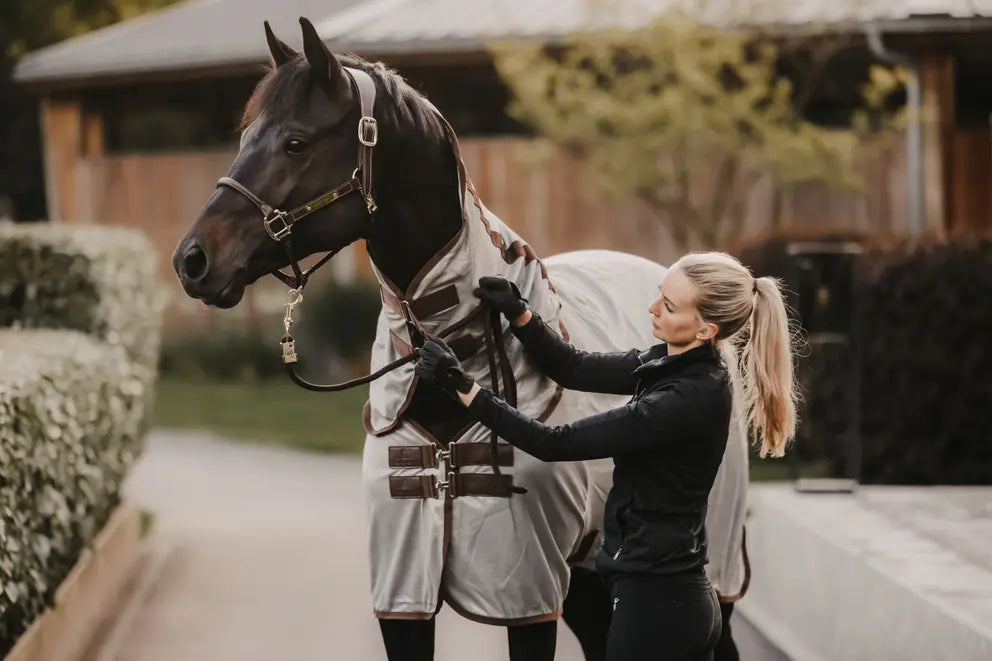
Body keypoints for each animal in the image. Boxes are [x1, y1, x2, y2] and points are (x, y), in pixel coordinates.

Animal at [172, 16, 744, 660]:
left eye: (296, 142)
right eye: (246, 136)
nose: (192, 260)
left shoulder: (526, 592)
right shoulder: (403, 594)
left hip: (704, 569)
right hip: (588, 576)